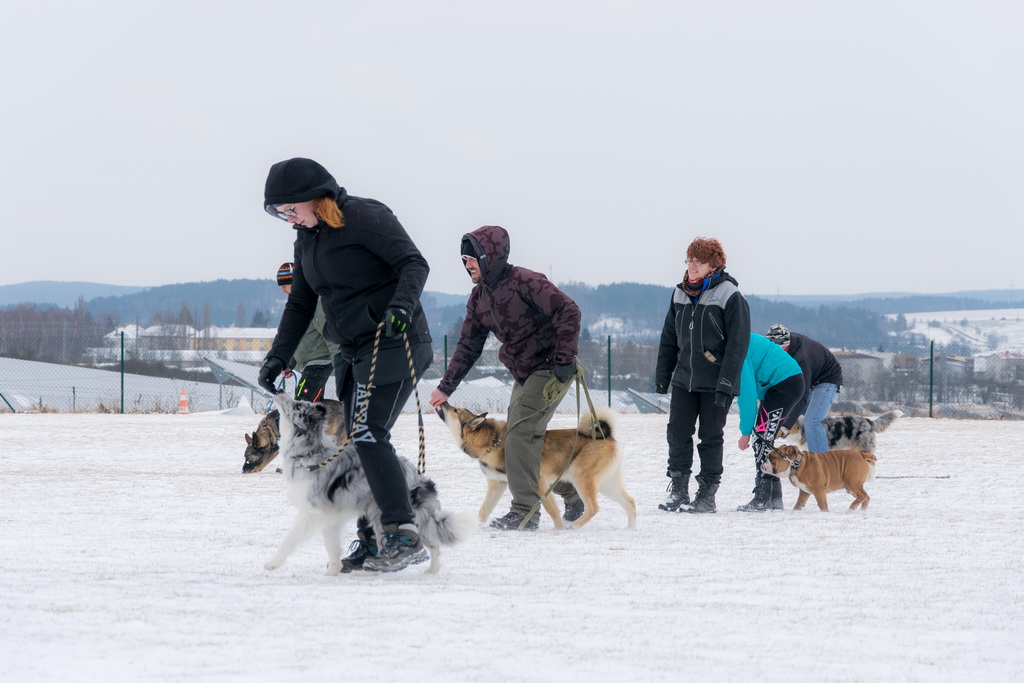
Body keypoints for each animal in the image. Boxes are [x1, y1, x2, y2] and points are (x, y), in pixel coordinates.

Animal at [262, 395, 473, 577]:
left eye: (297, 406)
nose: (280, 392)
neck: (308, 453)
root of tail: (418, 479)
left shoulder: (311, 513)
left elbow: (290, 539)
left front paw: (272, 563)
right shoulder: (329, 516)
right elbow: (332, 546)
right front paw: (333, 571)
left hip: (383, 518)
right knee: (433, 545)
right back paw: (431, 570)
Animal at [436, 403, 634, 532]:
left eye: (455, 409)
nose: (443, 402)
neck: (492, 441)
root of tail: (605, 436)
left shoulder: (538, 481)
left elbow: (550, 508)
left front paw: (559, 528)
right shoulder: (497, 484)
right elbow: (483, 510)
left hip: (582, 480)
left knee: (594, 508)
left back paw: (573, 526)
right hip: (607, 485)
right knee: (630, 502)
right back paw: (631, 528)